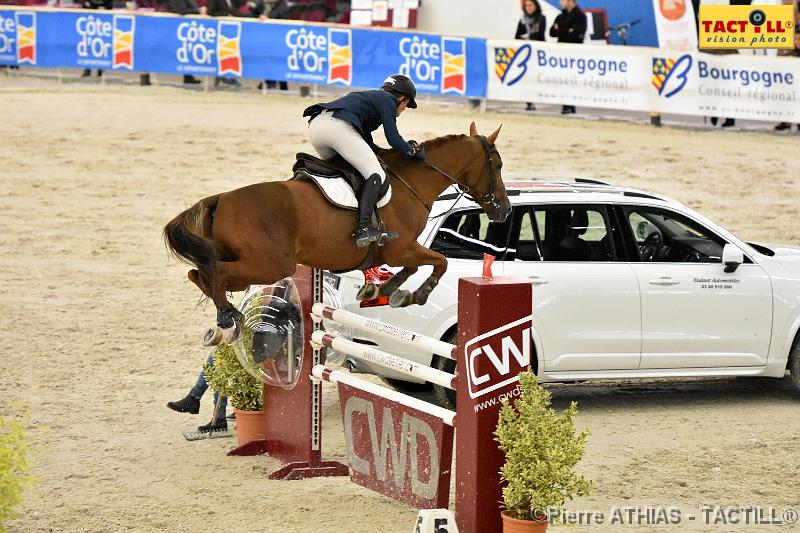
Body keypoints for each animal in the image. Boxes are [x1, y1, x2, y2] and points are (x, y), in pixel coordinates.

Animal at [165, 122, 510, 338]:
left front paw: (381, 290)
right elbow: (440, 261)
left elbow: (414, 267)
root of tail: (220, 199)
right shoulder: (401, 247)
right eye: (497, 164)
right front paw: (415, 295)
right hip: (271, 264)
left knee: (201, 273)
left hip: (251, 264)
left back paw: (227, 315)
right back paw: (229, 316)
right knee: (214, 274)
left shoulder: (399, 251)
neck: (411, 181)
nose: (504, 209)